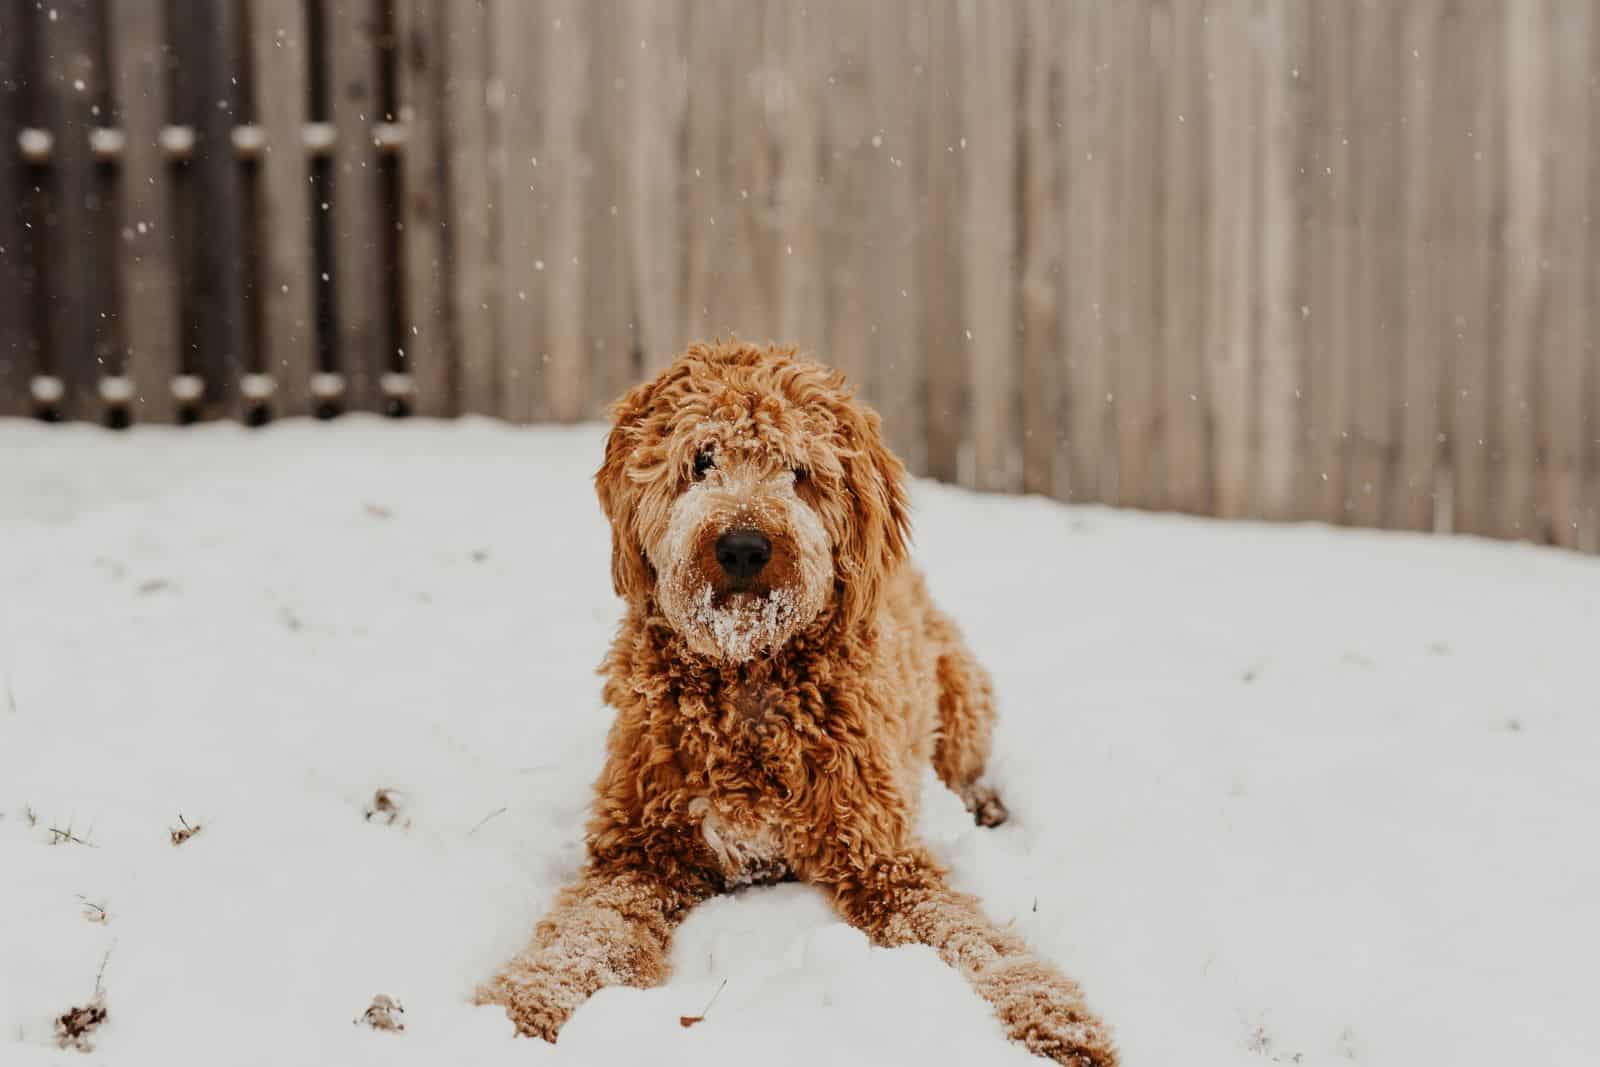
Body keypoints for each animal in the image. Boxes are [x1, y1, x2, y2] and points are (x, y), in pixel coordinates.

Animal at [476, 343, 1113, 1067]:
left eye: (799, 471)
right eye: (702, 458)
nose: (743, 546)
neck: (749, 675)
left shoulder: (884, 860)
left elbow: (972, 940)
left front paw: (1054, 1016)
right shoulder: (636, 852)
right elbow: (584, 934)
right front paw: (524, 1003)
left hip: (961, 693)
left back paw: (984, 802)